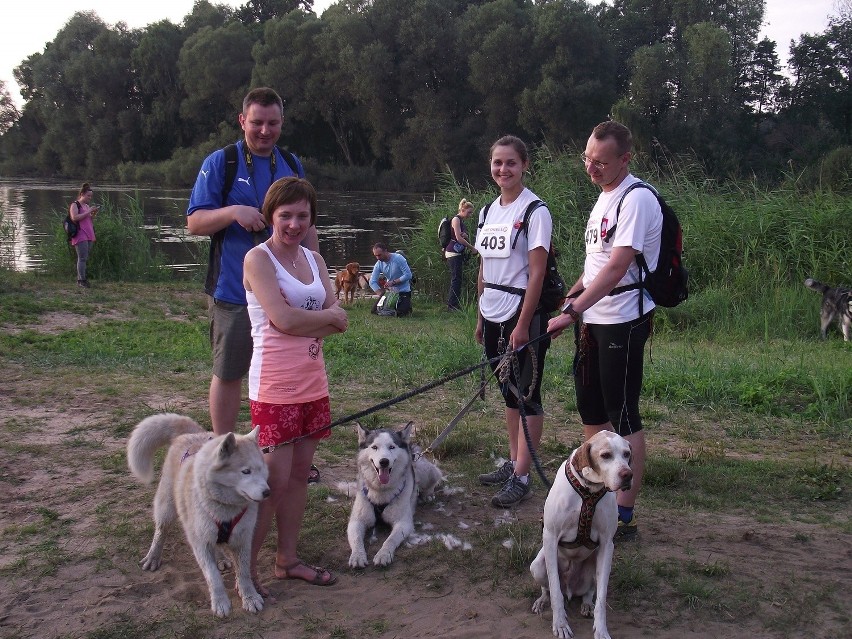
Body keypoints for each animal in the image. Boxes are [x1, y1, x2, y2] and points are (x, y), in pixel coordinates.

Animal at [126, 418, 270, 616]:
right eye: (246, 471)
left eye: (262, 469)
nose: (267, 492)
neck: (224, 508)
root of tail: (192, 434)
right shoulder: (200, 543)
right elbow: (213, 577)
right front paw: (220, 602)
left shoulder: (242, 540)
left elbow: (244, 573)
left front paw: (250, 597)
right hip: (167, 508)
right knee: (160, 531)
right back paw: (153, 557)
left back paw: (221, 558)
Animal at [348, 422, 442, 568]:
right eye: (374, 447)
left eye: (392, 447)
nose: (384, 461)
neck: (381, 490)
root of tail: (412, 450)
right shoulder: (356, 521)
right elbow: (357, 539)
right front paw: (358, 556)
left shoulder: (403, 523)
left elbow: (390, 540)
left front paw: (383, 554)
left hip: (425, 471)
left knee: (434, 479)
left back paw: (428, 495)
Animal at [528, 430, 636, 639]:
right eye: (605, 455)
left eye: (627, 454)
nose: (627, 475)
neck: (589, 490)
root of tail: (570, 589)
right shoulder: (551, 537)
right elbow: (555, 592)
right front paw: (560, 624)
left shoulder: (607, 544)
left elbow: (601, 597)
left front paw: (601, 629)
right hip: (537, 566)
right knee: (549, 589)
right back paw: (542, 601)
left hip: (596, 566)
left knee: (589, 592)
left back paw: (586, 605)